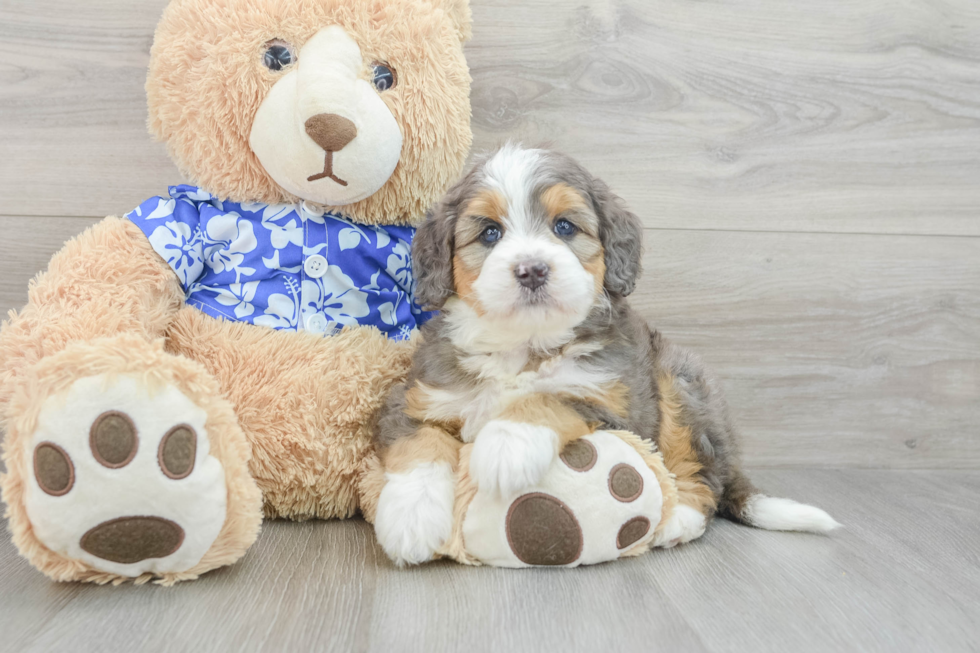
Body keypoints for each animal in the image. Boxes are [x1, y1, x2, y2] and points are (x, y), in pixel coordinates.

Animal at [372, 144, 840, 564]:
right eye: (489, 232)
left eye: (564, 227)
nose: (532, 270)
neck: (525, 346)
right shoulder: (418, 399)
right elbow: (421, 444)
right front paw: (410, 520)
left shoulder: (615, 402)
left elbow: (552, 395)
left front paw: (507, 445)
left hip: (681, 384)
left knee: (702, 475)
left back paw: (679, 518)